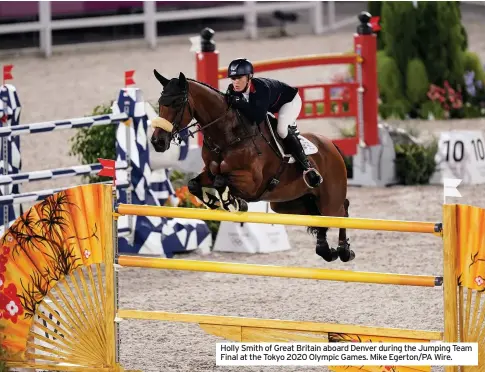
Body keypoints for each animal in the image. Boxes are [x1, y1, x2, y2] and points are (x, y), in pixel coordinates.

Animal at [149, 70, 354, 262]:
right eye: (160, 102)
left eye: (177, 103)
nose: (157, 142)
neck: (227, 135)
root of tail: (332, 146)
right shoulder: (209, 172)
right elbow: (194, 184)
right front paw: (214, 202)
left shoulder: (252, 182)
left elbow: (222, 181)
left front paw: (231, 201)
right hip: (288, 203)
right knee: (319, 217)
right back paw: (325, 250)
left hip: (329, 199)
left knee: (341, 210)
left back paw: (344, 250)